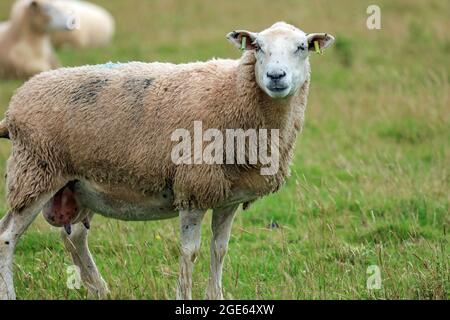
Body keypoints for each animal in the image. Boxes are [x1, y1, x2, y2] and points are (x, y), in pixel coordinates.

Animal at [0, 22, 334, 300]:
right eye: (258, 47)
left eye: (301, 47)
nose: (276, 76)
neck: (232, 92)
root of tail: (16, 102)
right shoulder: (193, 188)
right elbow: (190, 252)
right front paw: (184, 295)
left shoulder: (228, 197)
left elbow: (220, 249)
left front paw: (216, 296)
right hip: (35, 171)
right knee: (7, 237)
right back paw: (11, 293)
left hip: (78, 183)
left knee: (74, 237)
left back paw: (99, 289)